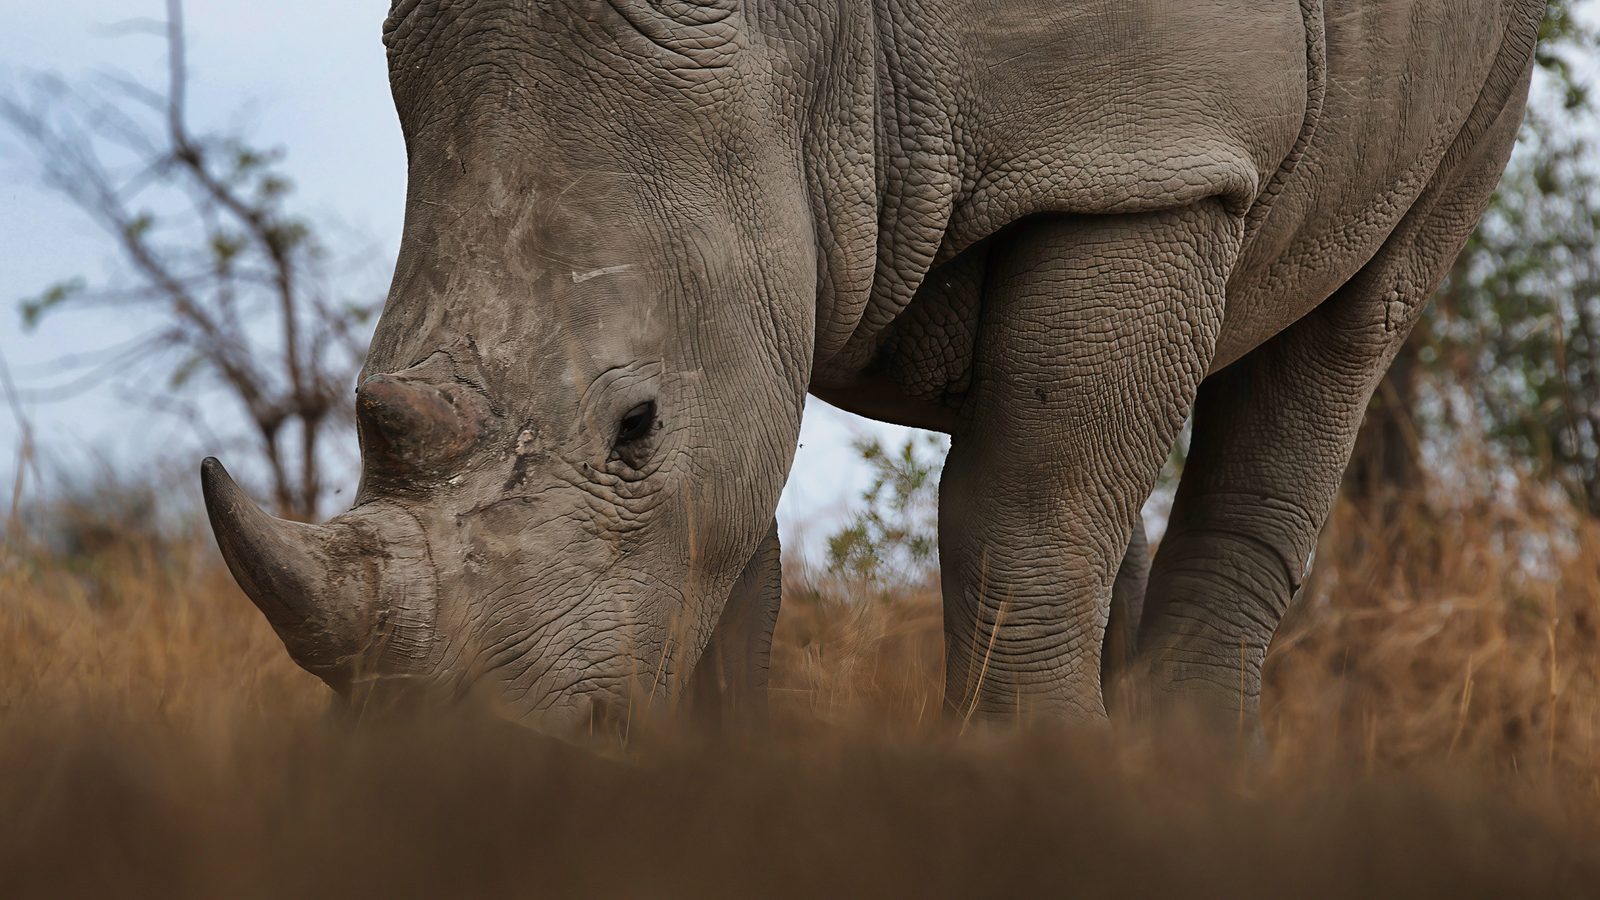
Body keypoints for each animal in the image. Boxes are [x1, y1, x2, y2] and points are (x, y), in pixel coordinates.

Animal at [202, 0, 1544, 733]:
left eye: (634, 427)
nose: (454, 758)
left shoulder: (1142, 147)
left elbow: (1026, 506)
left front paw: (1042, 788)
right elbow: (730, 548)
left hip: (1486, 68)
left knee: (1353, 325)